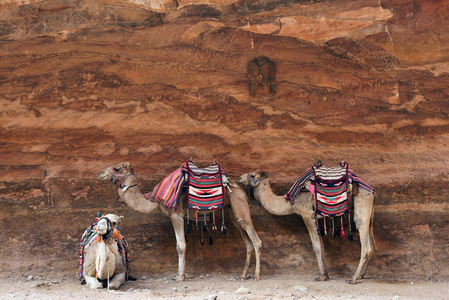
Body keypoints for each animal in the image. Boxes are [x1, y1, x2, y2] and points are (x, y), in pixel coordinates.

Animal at [96, 162, 260, 282]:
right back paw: (243, 275)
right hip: (234, 212)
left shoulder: (176, 214)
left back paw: (257, 275)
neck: (155, 200)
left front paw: (179, 277)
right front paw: (180, 275)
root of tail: (241, 190)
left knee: (256, 240)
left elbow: (180, 245)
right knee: (247, 242)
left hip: (239, 203)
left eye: (117, 168)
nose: (100, 174)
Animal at [238, 168, 374, 284]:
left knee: (365, 243)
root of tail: (372, 191)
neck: (290, 201)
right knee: (371, 245)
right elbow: (321, 245)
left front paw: (321, 276)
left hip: (362, 204)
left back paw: (353, 278)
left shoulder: (307, 215)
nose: (239, 178)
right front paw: (325, 275)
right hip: (369, 214)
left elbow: (316, 246)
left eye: (252, 175)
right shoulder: (315, 218)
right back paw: (361, 275)